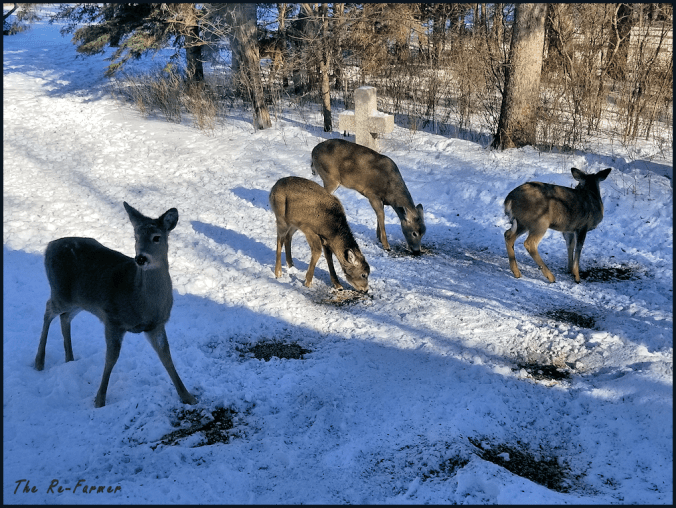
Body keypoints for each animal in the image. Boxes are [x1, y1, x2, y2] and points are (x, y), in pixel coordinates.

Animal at [34, 202, 198, 408]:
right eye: (135, 236)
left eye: (157, 237)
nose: (140, 258)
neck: (142, 300)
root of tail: (49, 246)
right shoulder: (112, 318)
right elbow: (111, 358)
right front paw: (99, 400)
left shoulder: (156, 325)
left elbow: (166, 356)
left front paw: (188, 396)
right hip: (61, 292)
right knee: (48, 310)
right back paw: (39, 362)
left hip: (79, 301)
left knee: (64, 317)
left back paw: (69, 358)